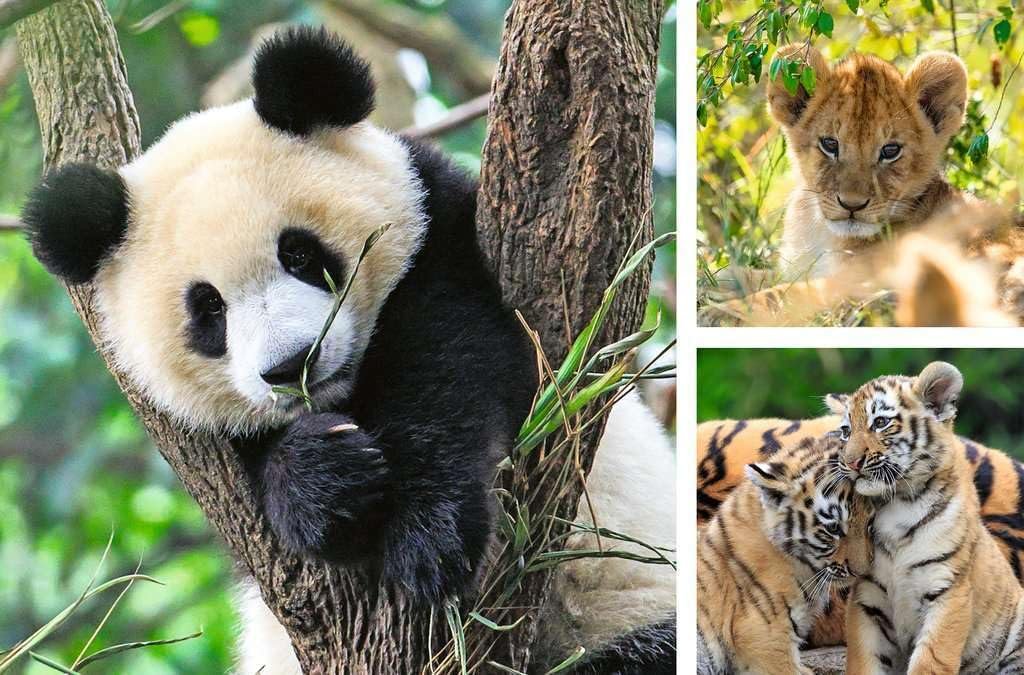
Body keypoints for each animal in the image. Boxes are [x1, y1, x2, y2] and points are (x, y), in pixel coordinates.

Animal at [22, 27, 675, 674]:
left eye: (300, 253)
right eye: (208, 308)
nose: (293, 365)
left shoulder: (443, 236)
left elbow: (456, 364)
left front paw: (430, 539)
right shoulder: (210, 449)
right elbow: (263, 493)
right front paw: (325, 477)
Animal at [836, 362, 1024, 674]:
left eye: (880, 422)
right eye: (845, 431)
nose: (850, 462)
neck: (895, 503)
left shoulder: (948, 590)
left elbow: (931, 659)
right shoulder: (867, 600)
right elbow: (865, 661)